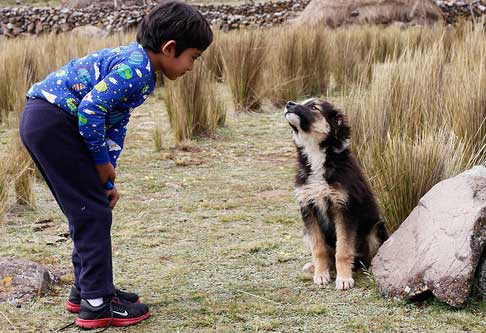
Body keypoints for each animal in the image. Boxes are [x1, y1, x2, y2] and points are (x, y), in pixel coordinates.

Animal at [282, 98, 390, 288]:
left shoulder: (345, 208)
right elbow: (319, 249)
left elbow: (343, 250)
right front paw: (321, 275)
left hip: (376, 228)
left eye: (314, 107)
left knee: (364, 258)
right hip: (305, 230)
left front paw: (344, 279)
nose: (289, 103)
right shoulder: (308, 207)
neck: (316, 156)